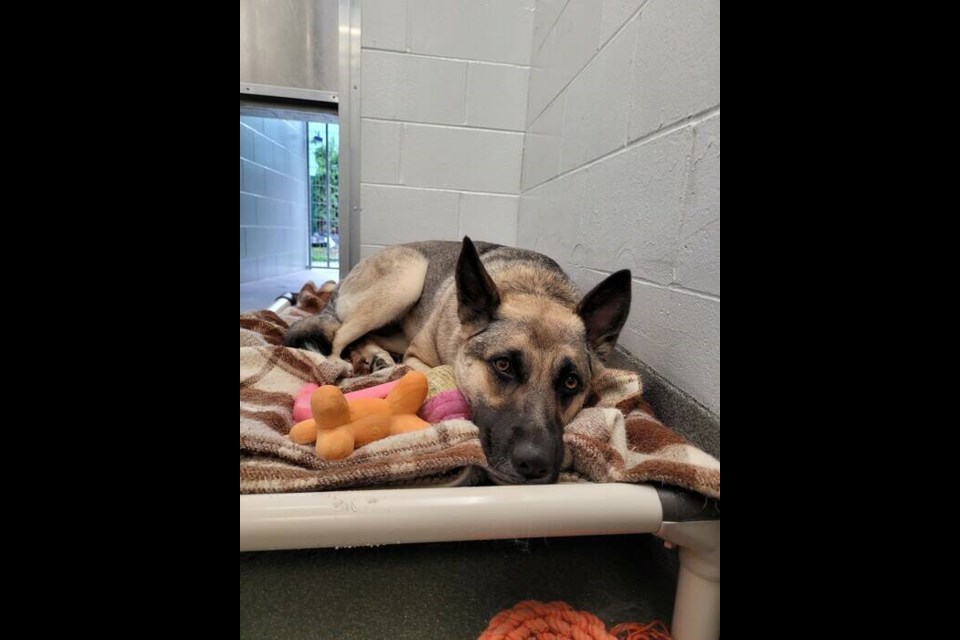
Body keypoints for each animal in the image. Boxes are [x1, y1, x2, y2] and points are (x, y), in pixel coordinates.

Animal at [284, 238, 632, 482]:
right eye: (503, 365)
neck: (535, 289)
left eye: (571, 382)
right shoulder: (417, 356)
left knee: (362, 338)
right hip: (404, 282)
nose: (535, 465)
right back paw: (344, 367)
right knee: (340, 337)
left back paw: (377, 358)